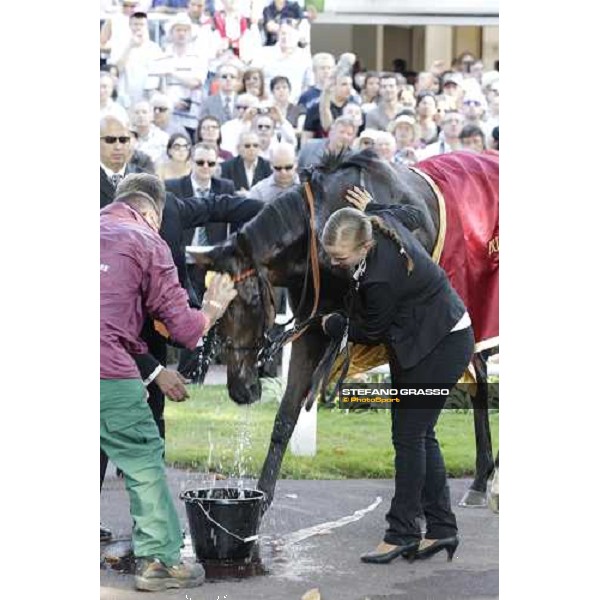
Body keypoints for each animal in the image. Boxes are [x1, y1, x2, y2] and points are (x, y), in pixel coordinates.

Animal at [197, 150, 496, 510]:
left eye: (252, 301)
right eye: (214, 309)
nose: (242, 390)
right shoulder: (310, 331)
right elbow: (286, 415)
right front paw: (262, 499)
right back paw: (482, 478)